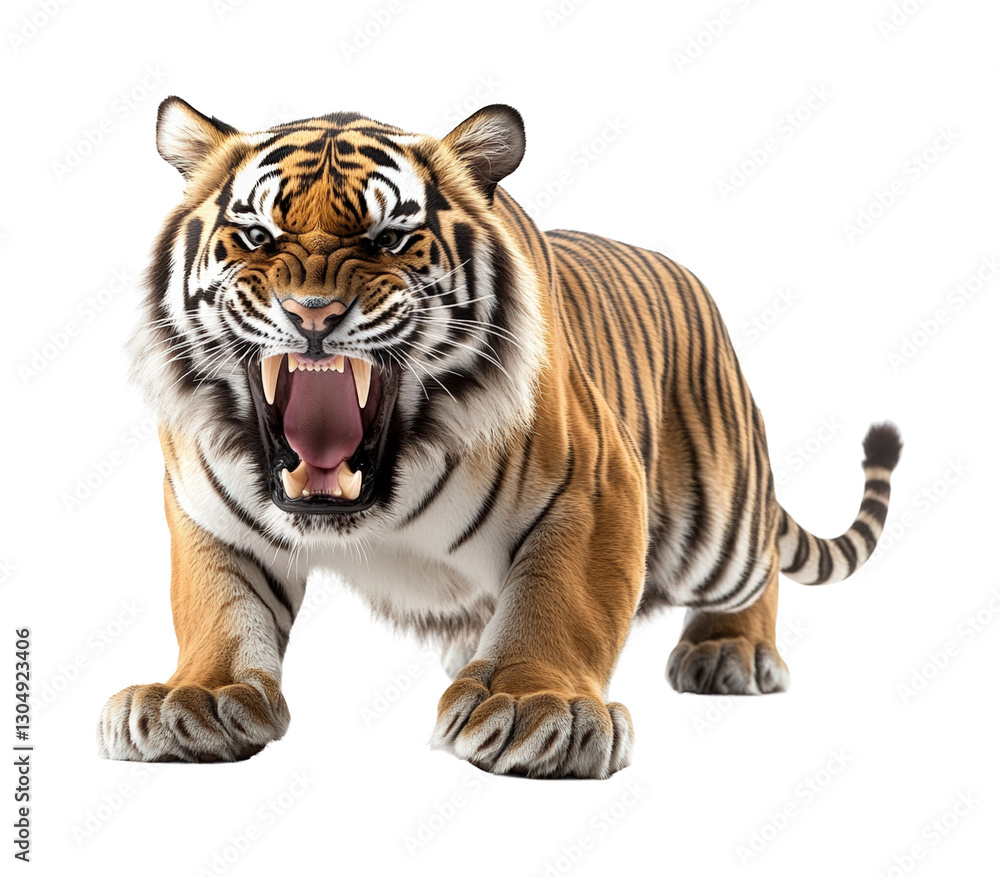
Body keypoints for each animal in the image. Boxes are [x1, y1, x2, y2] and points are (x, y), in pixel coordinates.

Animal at [97, 97, 902, 779]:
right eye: (257, 236)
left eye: (392, 239)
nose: (312, 312)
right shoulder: (208, 509)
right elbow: (219, 606)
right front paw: (194, 696)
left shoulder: (594, 488)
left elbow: (559, 602)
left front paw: (534, 706)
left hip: (718, 525)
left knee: (761, 563)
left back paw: (731, 651)